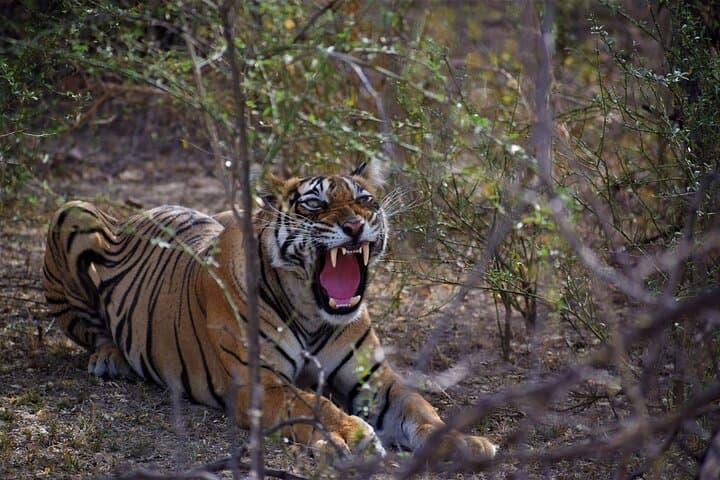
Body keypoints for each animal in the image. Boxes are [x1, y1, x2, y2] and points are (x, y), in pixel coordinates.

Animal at [42, 163, 497, 461]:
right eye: (314, 204)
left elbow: (419, 406)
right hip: (73, 212)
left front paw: (463, 442)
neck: (314, 312)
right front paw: (352, 435)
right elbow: (311, 402)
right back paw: (109, 358)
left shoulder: (375, 378)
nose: (354, 225)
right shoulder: (260, 384)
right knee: (92, 328)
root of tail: (143, 211)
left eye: (365, 199)